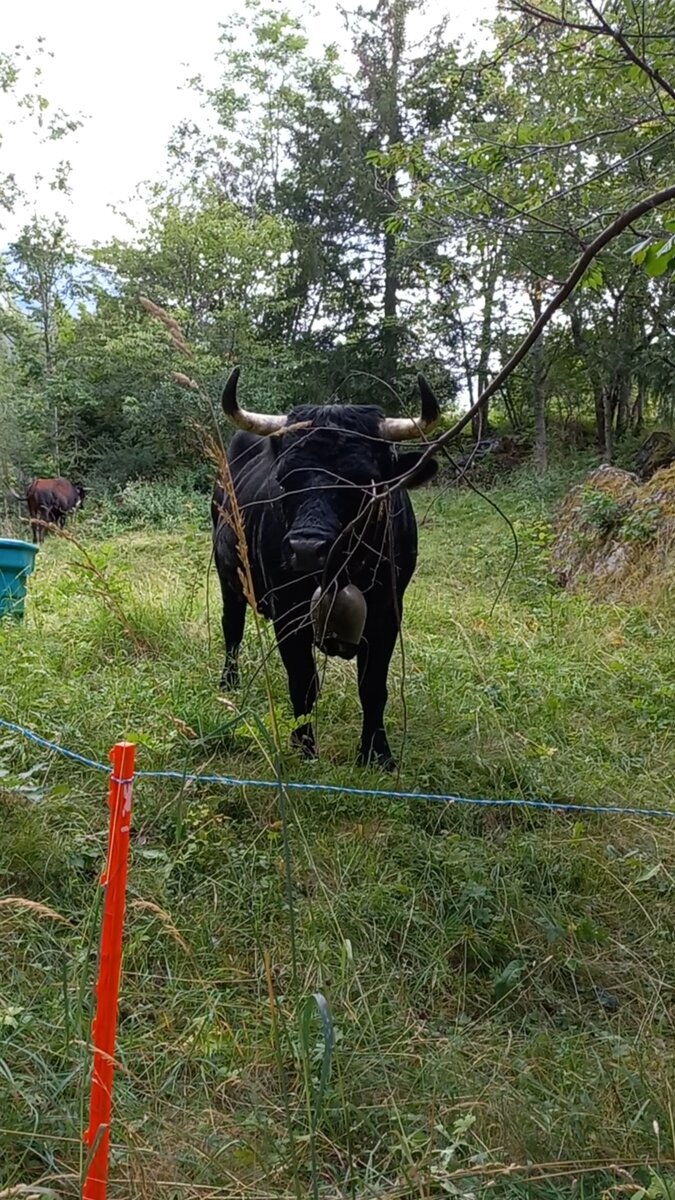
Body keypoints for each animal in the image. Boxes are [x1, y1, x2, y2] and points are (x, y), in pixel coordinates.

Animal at [212, 364, 439, 772]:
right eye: (284, 479)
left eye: (365, 480)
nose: (307, 549)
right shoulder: (288, 614)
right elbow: (303, 682)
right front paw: (304, 748)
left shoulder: (387, 613)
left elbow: (372, 686)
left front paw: (377, 753)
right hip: (229, 579)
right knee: (232, 628)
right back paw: (229, 681)